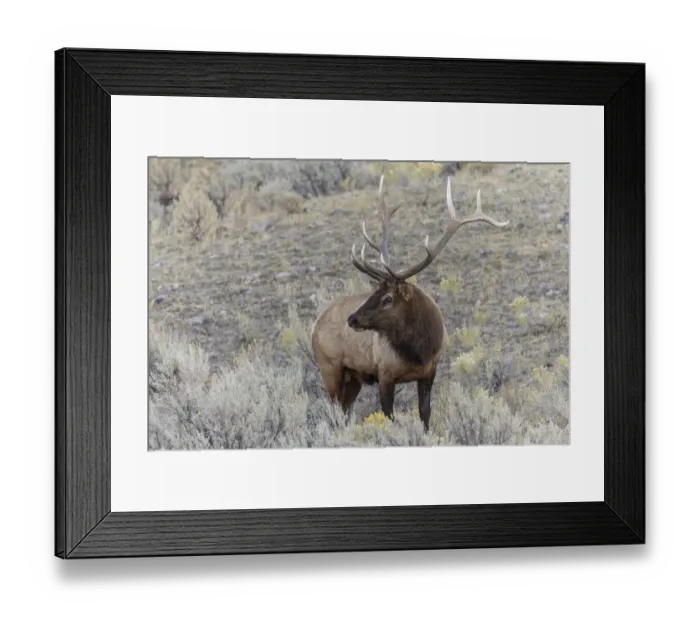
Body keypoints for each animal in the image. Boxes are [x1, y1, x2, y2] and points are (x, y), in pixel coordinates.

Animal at [311, 175, 509, 432]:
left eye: (387, 298)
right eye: (374, 292)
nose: (352, 319)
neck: (419, 351)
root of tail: (315, 325)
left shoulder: (429, 371)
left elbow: (425, 413)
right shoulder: (384, 373)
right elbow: (389, 417)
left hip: (353, 377)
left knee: (343, 412)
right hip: (330, 368)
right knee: (333, 412)